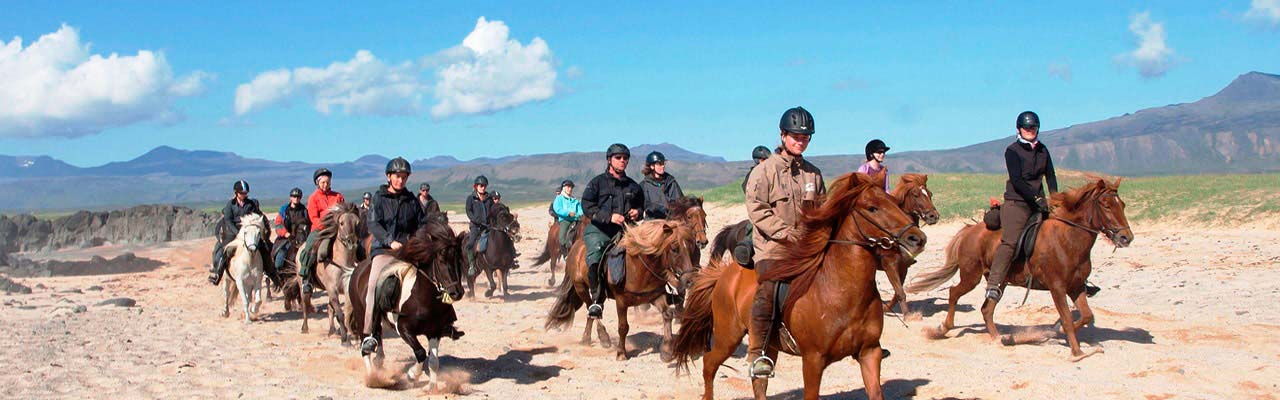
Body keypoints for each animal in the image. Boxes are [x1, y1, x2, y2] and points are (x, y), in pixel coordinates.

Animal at [345, 220, 471, 389]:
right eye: (441, 261)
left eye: (458, 260)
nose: (456, 293)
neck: (424, 300)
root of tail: (357, 269)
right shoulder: (404, 329)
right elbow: (420, 353)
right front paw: (412, 375)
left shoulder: (435, 331)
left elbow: (433, 361)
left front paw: (433, 388)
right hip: (361, 314)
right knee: (365, 342)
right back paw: (372, 377)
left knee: (377, 334)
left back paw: (379, 362)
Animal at [542, 212, 696, 361]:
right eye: (674, 249)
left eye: (691, 248)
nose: (689, 280)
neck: (638, 268)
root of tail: (575, 248)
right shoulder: (621, 301)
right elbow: (623, 327)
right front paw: (621, 353)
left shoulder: (654, 296)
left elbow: (668, 315)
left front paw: (666, 351)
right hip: (581, 288)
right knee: (591, 309)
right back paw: (602, 337)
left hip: (600, 293)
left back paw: (588, 338)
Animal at [670, 173, 931, 400]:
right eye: (872, 208)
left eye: (895, 203)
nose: (917, 239)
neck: (843, 292)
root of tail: (725, 274)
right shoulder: (813, 360)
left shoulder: (870, 352)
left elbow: (876, 392)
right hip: (728, 335)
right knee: (709, 364)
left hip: (766, 344)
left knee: (758, 380)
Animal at [906, 176, 1136, 358]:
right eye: (1106, 205)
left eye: (1122, 205)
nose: (1127, 238)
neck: (1068, 238)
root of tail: (969, 230)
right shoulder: (1057, 288)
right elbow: (1068, 318)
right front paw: (1077, 352)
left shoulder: (1076, 287)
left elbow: (1086, 316)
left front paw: (1058, 330)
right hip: (971, 276)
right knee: (954, 293)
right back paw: (944, 328)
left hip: (1000, 280)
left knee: (986, 309)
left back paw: (1000, 339)